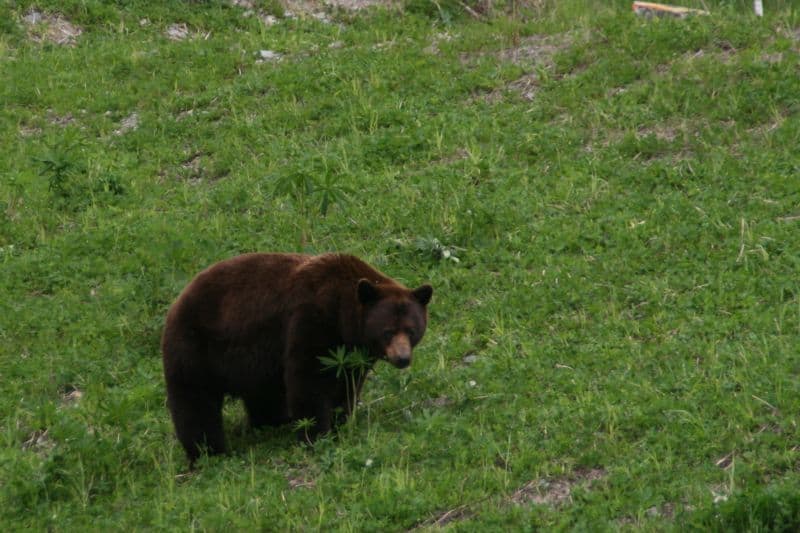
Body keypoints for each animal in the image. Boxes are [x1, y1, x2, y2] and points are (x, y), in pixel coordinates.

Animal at [158, 251, 432, 464]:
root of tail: (178, 300)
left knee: (263, 396)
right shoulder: (310, 321)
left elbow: (346, 385)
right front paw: (316, 434)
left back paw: (274, 421)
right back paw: (207, 451)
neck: (342, 312)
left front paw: (340, 420)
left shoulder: (349, 353)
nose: (402, 358)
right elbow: (308, 380)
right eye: (388, 331)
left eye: (411, 330)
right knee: (195, 401)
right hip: (196, 348)